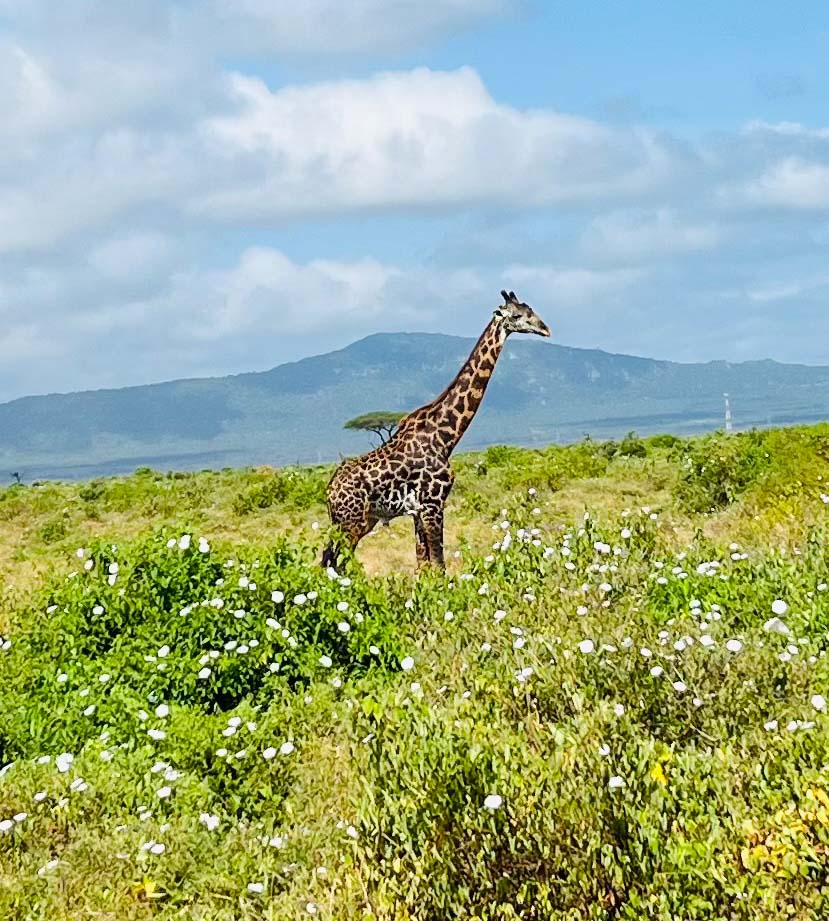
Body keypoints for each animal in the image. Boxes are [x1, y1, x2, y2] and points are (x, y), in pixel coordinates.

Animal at [322, 290, 551, 571]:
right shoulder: (433, 504)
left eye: (531, 310)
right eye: (517, 316)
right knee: (336, 563)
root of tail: (329, 492)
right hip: (351, 521)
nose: (546, 329)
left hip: (358, 520)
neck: (445, 436)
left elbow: (424, 566)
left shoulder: (418, 511)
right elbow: (439, 565)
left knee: (329, 560)